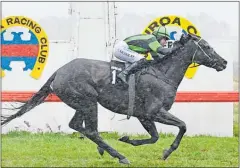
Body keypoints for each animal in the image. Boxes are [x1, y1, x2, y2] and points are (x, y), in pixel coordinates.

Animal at [1, 33, 227, 164]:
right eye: (207, 47)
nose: (224, 62)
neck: (162, 74)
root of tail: (59, 71)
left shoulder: (144, 115)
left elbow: (154, 137)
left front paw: (128, 139)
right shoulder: (154, 111)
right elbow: (182, 126)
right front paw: (166, 152)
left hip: (81, 103)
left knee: (77, 125)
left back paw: (104, 149)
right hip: (88, 101)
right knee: (91, 130)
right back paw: (120, 156)